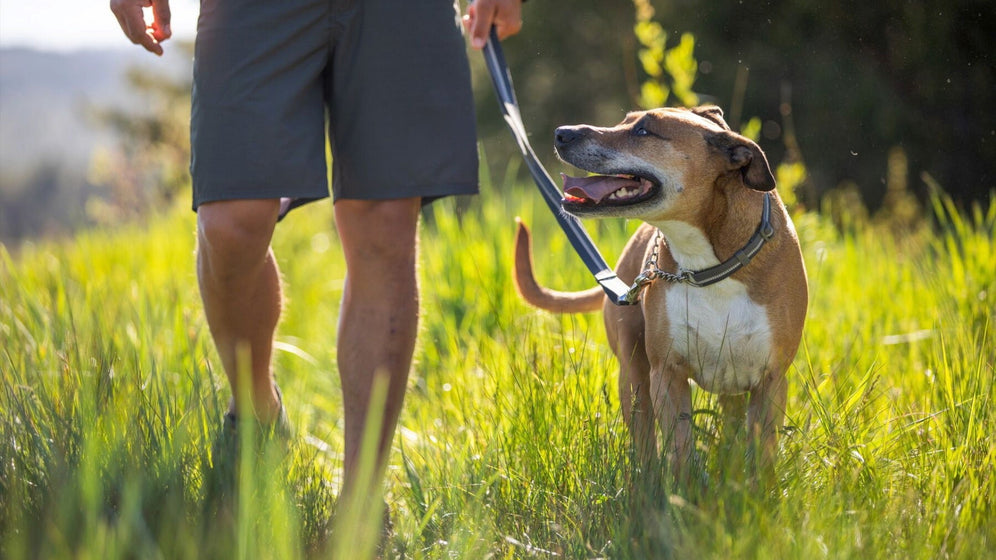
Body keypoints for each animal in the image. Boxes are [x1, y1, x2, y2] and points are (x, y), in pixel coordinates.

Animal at [516, 105, 804, 476]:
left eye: (643, 131)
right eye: (625, 121)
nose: (562, 133)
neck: (708, 266)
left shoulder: (771, 380)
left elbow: (762, 458)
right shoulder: (667, 374)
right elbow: (680, 451)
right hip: (634, 376)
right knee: (644, 440)